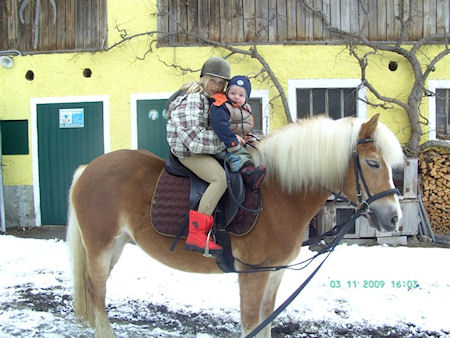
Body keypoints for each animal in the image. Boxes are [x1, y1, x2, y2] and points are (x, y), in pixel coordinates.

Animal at [66, 114, 404, 338]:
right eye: (373, 163)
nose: (394, 218)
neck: (277, 195)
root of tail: (88, 168)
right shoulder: (252, 274)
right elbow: (251, 322)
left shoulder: (275, 272)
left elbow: (266, 320)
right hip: (100, 246)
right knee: (96, 290)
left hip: (117, 245)